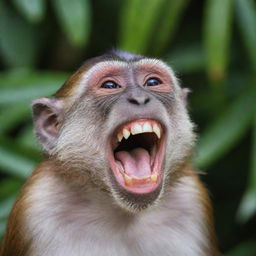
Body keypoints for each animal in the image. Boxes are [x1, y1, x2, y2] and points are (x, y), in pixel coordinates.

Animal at [0, 50, 218, 256]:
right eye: (110, 85)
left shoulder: (192, 199)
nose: (140, 98)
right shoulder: (36, 204)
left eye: (153, 82)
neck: (123, 212)